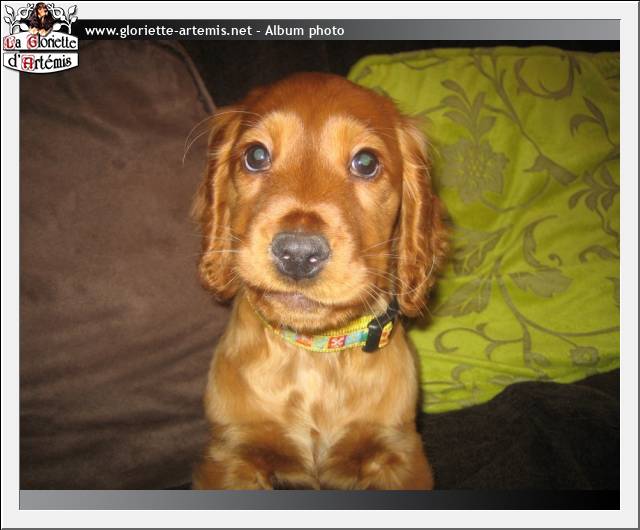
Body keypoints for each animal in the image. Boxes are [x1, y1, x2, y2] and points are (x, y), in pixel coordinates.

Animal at [191, 72, 448, 490]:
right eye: (256, 156)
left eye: (365, 162)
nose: (297, 254)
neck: (313, 355)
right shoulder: (230, 453)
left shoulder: (399, 454)